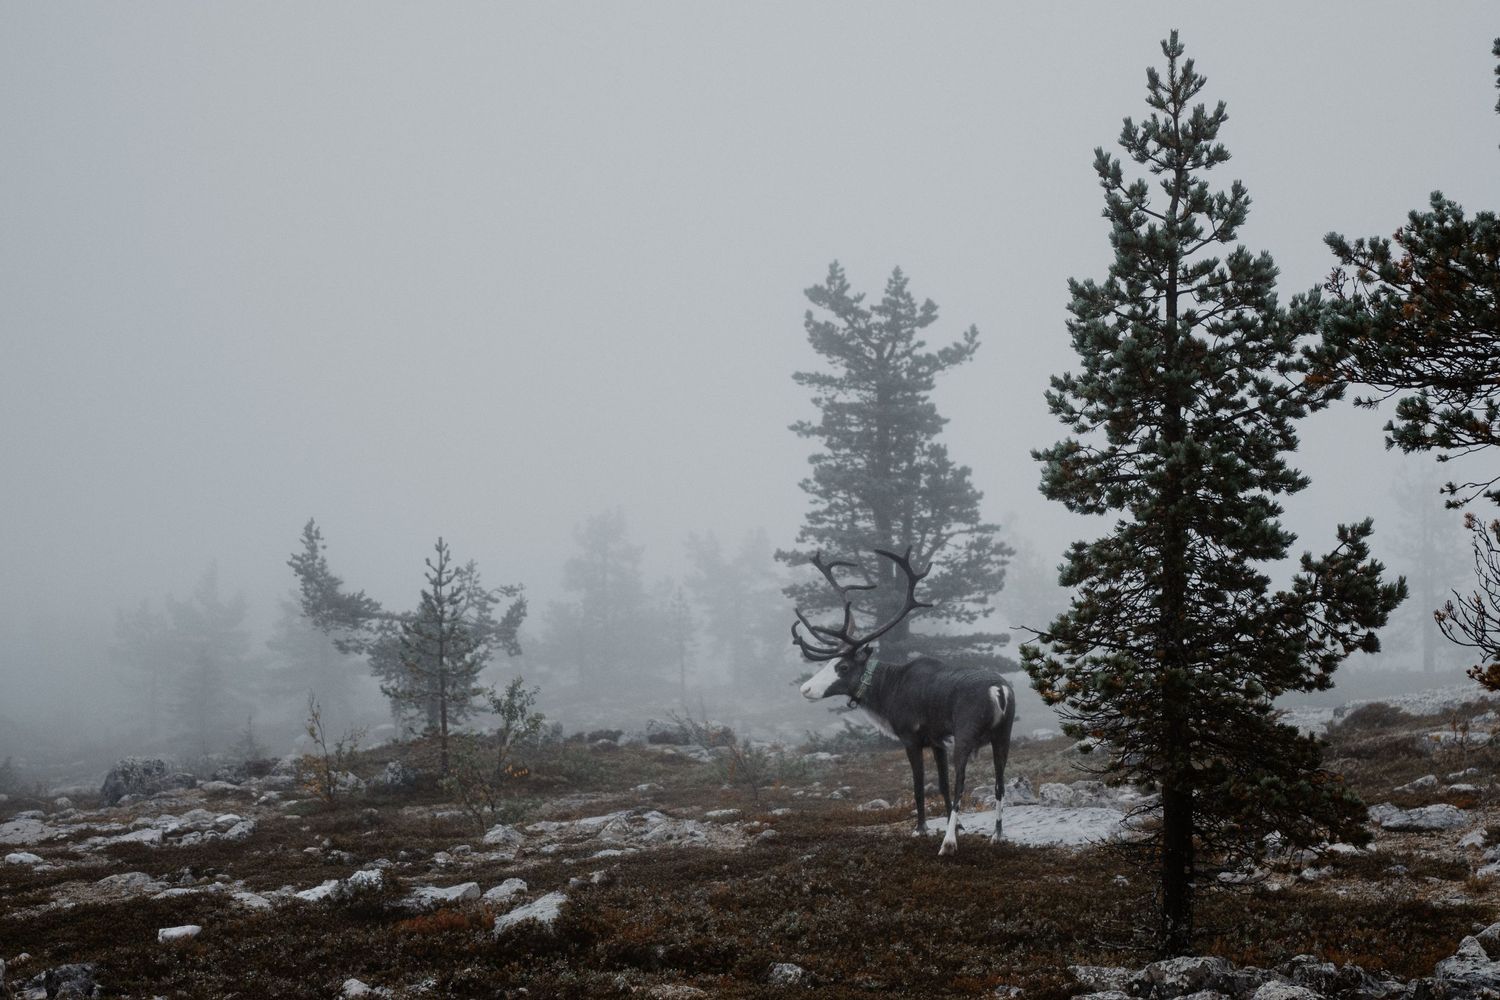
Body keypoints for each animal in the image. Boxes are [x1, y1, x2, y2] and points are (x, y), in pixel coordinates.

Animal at [793, 547, 1015, 856]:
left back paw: (948, 844)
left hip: (966, 734)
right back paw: (997, 835)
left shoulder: (911, 737)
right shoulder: (937, 740)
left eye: (843, 667)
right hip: (1003, 734)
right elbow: (942, 785)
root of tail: (999, 691)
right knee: (999, 783)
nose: (806, 688)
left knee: (963, 783)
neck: (887, 693)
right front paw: (958, 826)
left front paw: (922, 829)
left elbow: (920, 785)